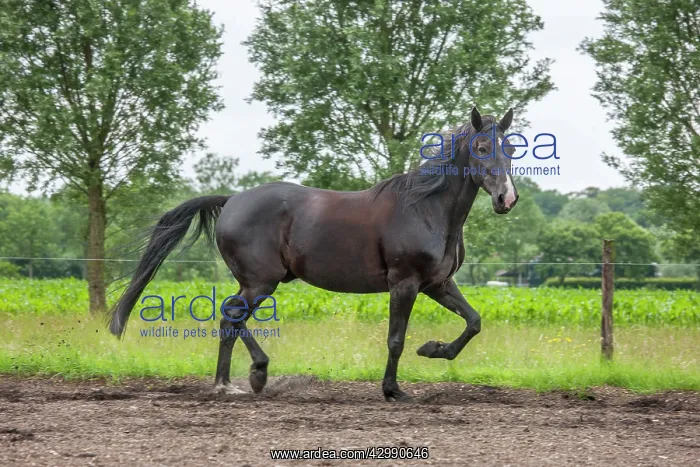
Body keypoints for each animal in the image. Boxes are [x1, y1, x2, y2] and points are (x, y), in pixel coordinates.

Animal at [108, 107, 519, 401]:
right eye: (483, 149)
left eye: (512, 149)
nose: (507, 199)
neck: (426, 208)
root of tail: (232, 199)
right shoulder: (405, 284)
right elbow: (396, 339)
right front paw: (393, 390)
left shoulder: (438, 284)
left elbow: (473, 322)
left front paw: (433, 349)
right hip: (261, 282)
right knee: (232, 316)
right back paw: (255, 373)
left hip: (255, 283)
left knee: (229, 320)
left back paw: (227, 384)